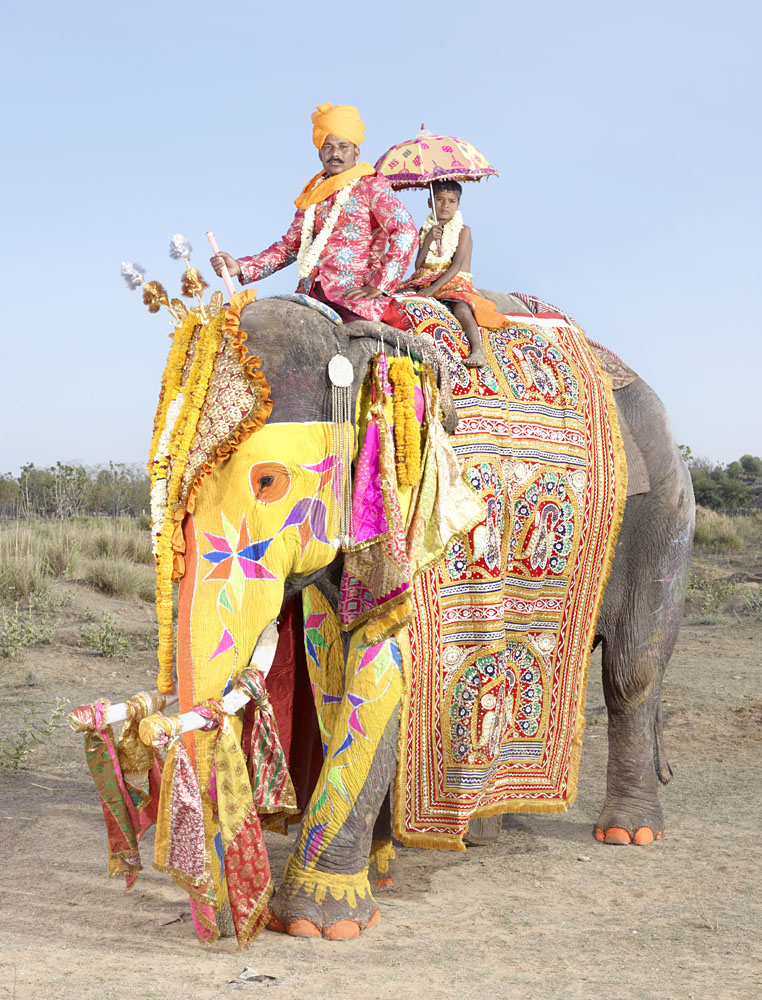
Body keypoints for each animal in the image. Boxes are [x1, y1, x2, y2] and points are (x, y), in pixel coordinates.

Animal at [173, 288, 694, 941]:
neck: (354, 338)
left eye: (267, 480)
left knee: (631, 671)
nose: (224, 926)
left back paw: (628, 833)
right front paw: (378, 873)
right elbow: (337, 669)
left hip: (667, 518)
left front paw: (319, 924)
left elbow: (386, 672)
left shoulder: (429, 516)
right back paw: (481, 832)